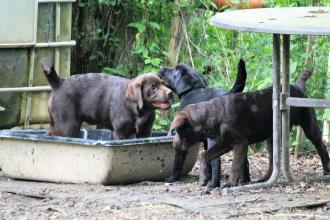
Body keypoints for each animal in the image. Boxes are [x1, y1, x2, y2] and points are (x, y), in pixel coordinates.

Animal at [40, 57, 173, 138]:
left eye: (162, 83)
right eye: (153, 88)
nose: (170, 93)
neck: (140, 111)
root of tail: (58, 83)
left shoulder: (146, 132)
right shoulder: (120, 132)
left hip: (59, 124)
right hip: (68, 124)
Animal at [159, 58, 246, 187]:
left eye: (175, 70)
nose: (161, 67)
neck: (193, 91)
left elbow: (178, 161)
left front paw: (172, 178)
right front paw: (206, 176)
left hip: (214, 139)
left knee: (216, 161)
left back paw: (213, 184)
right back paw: (245, 181)